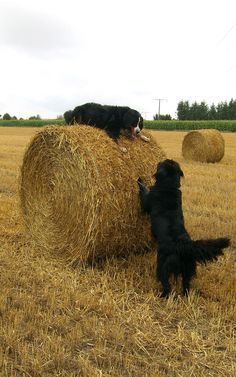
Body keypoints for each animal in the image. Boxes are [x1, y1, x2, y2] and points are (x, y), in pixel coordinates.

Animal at [136, 159, 230, 296]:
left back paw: (162, 295)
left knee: (166, 283)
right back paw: (185, 295)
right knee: (186, 285)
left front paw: (140, 180)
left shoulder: (146, 202)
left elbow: (144, 191)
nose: (159, 161)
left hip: (163, 265)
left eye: (161, 163)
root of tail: (185, 246)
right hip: (188, 269)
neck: (169, 186)